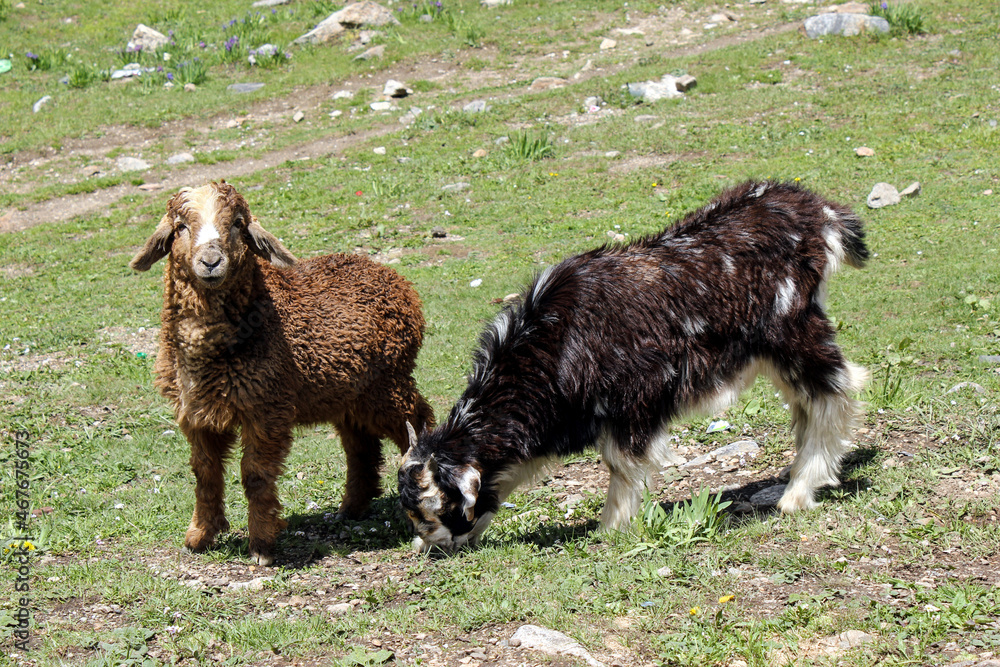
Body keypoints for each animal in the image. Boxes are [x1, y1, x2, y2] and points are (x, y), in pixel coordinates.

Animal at [130, 181, 434, 565]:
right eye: (180, 227)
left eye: (237, 224)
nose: (211, 262)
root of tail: (395, 279)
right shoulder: (196, 413)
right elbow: (205, 473)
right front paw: (200, 535)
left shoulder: (266, 407)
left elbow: (256, 476)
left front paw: (261, 544)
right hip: (346, 393)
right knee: (360, 445)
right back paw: (350, 507)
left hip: (388, 382)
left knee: (418, 419)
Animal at [399, 180, 868, 553]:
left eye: (439, 507)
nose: (431, 549)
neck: (553, 344)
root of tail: (819, 213)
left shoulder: (635, 401)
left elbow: (621, 464)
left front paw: (612, 526)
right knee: (804, 399)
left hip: (792, 330)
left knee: (836, 388)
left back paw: (800, 490)